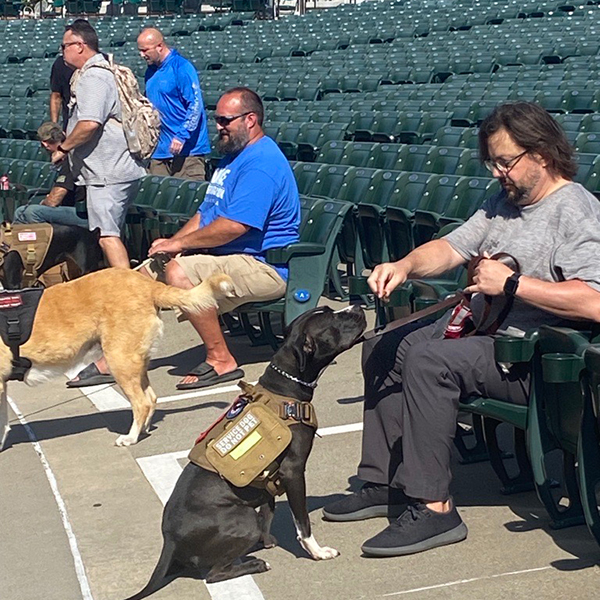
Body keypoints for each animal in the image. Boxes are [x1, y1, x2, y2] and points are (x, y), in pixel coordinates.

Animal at [0, 268, 234, 450]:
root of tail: (148, 285)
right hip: (134, 361)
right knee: (151, 398)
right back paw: (144, 429)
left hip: (118, 361)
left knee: (141, 403)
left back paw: (131, 437)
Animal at [125, 304, 368, 600]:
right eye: (334, 319)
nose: (357, 306)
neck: (284, 388)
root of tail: (169, 541)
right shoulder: (293, 471)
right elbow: (302, 522)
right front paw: (317, 551)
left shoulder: (269, 481)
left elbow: (268, 510)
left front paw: (267, 539)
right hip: (242, 519)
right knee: (214, 574)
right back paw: (254, 563)